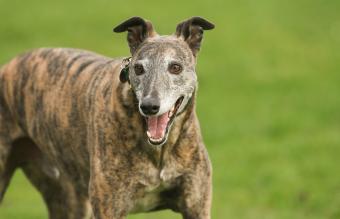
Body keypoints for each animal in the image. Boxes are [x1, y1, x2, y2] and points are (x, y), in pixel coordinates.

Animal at [0, 16, 214, 218]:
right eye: (138, 68)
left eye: (175, 67)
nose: (149, 106)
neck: (159, 150)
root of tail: (8, 65)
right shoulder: (108, 207)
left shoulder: (196, 207)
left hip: (68, 199)